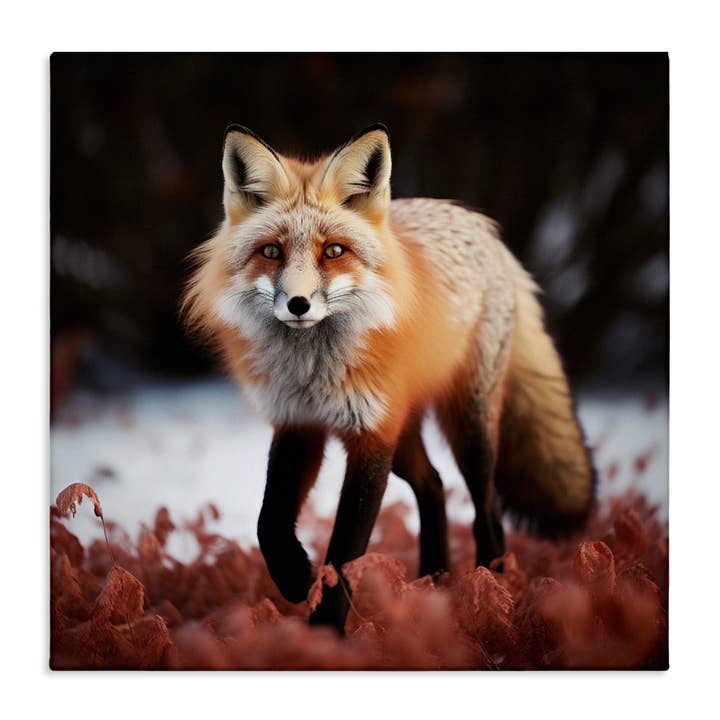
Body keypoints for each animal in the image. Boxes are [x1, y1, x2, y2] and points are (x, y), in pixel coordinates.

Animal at [181, 123, 596, 632]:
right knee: (434, 485)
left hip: (467, 426)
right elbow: (269, 523)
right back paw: (435, 582)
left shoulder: (371, 435)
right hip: (405, 435)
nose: (298, 304)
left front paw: (325, 633)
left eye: (334, 251)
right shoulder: (299, 423)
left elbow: (344, 553)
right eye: (271, 252)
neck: (314, 371)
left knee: (489, 508)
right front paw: (297, 578)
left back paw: (490, 594)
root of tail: (482, 227)